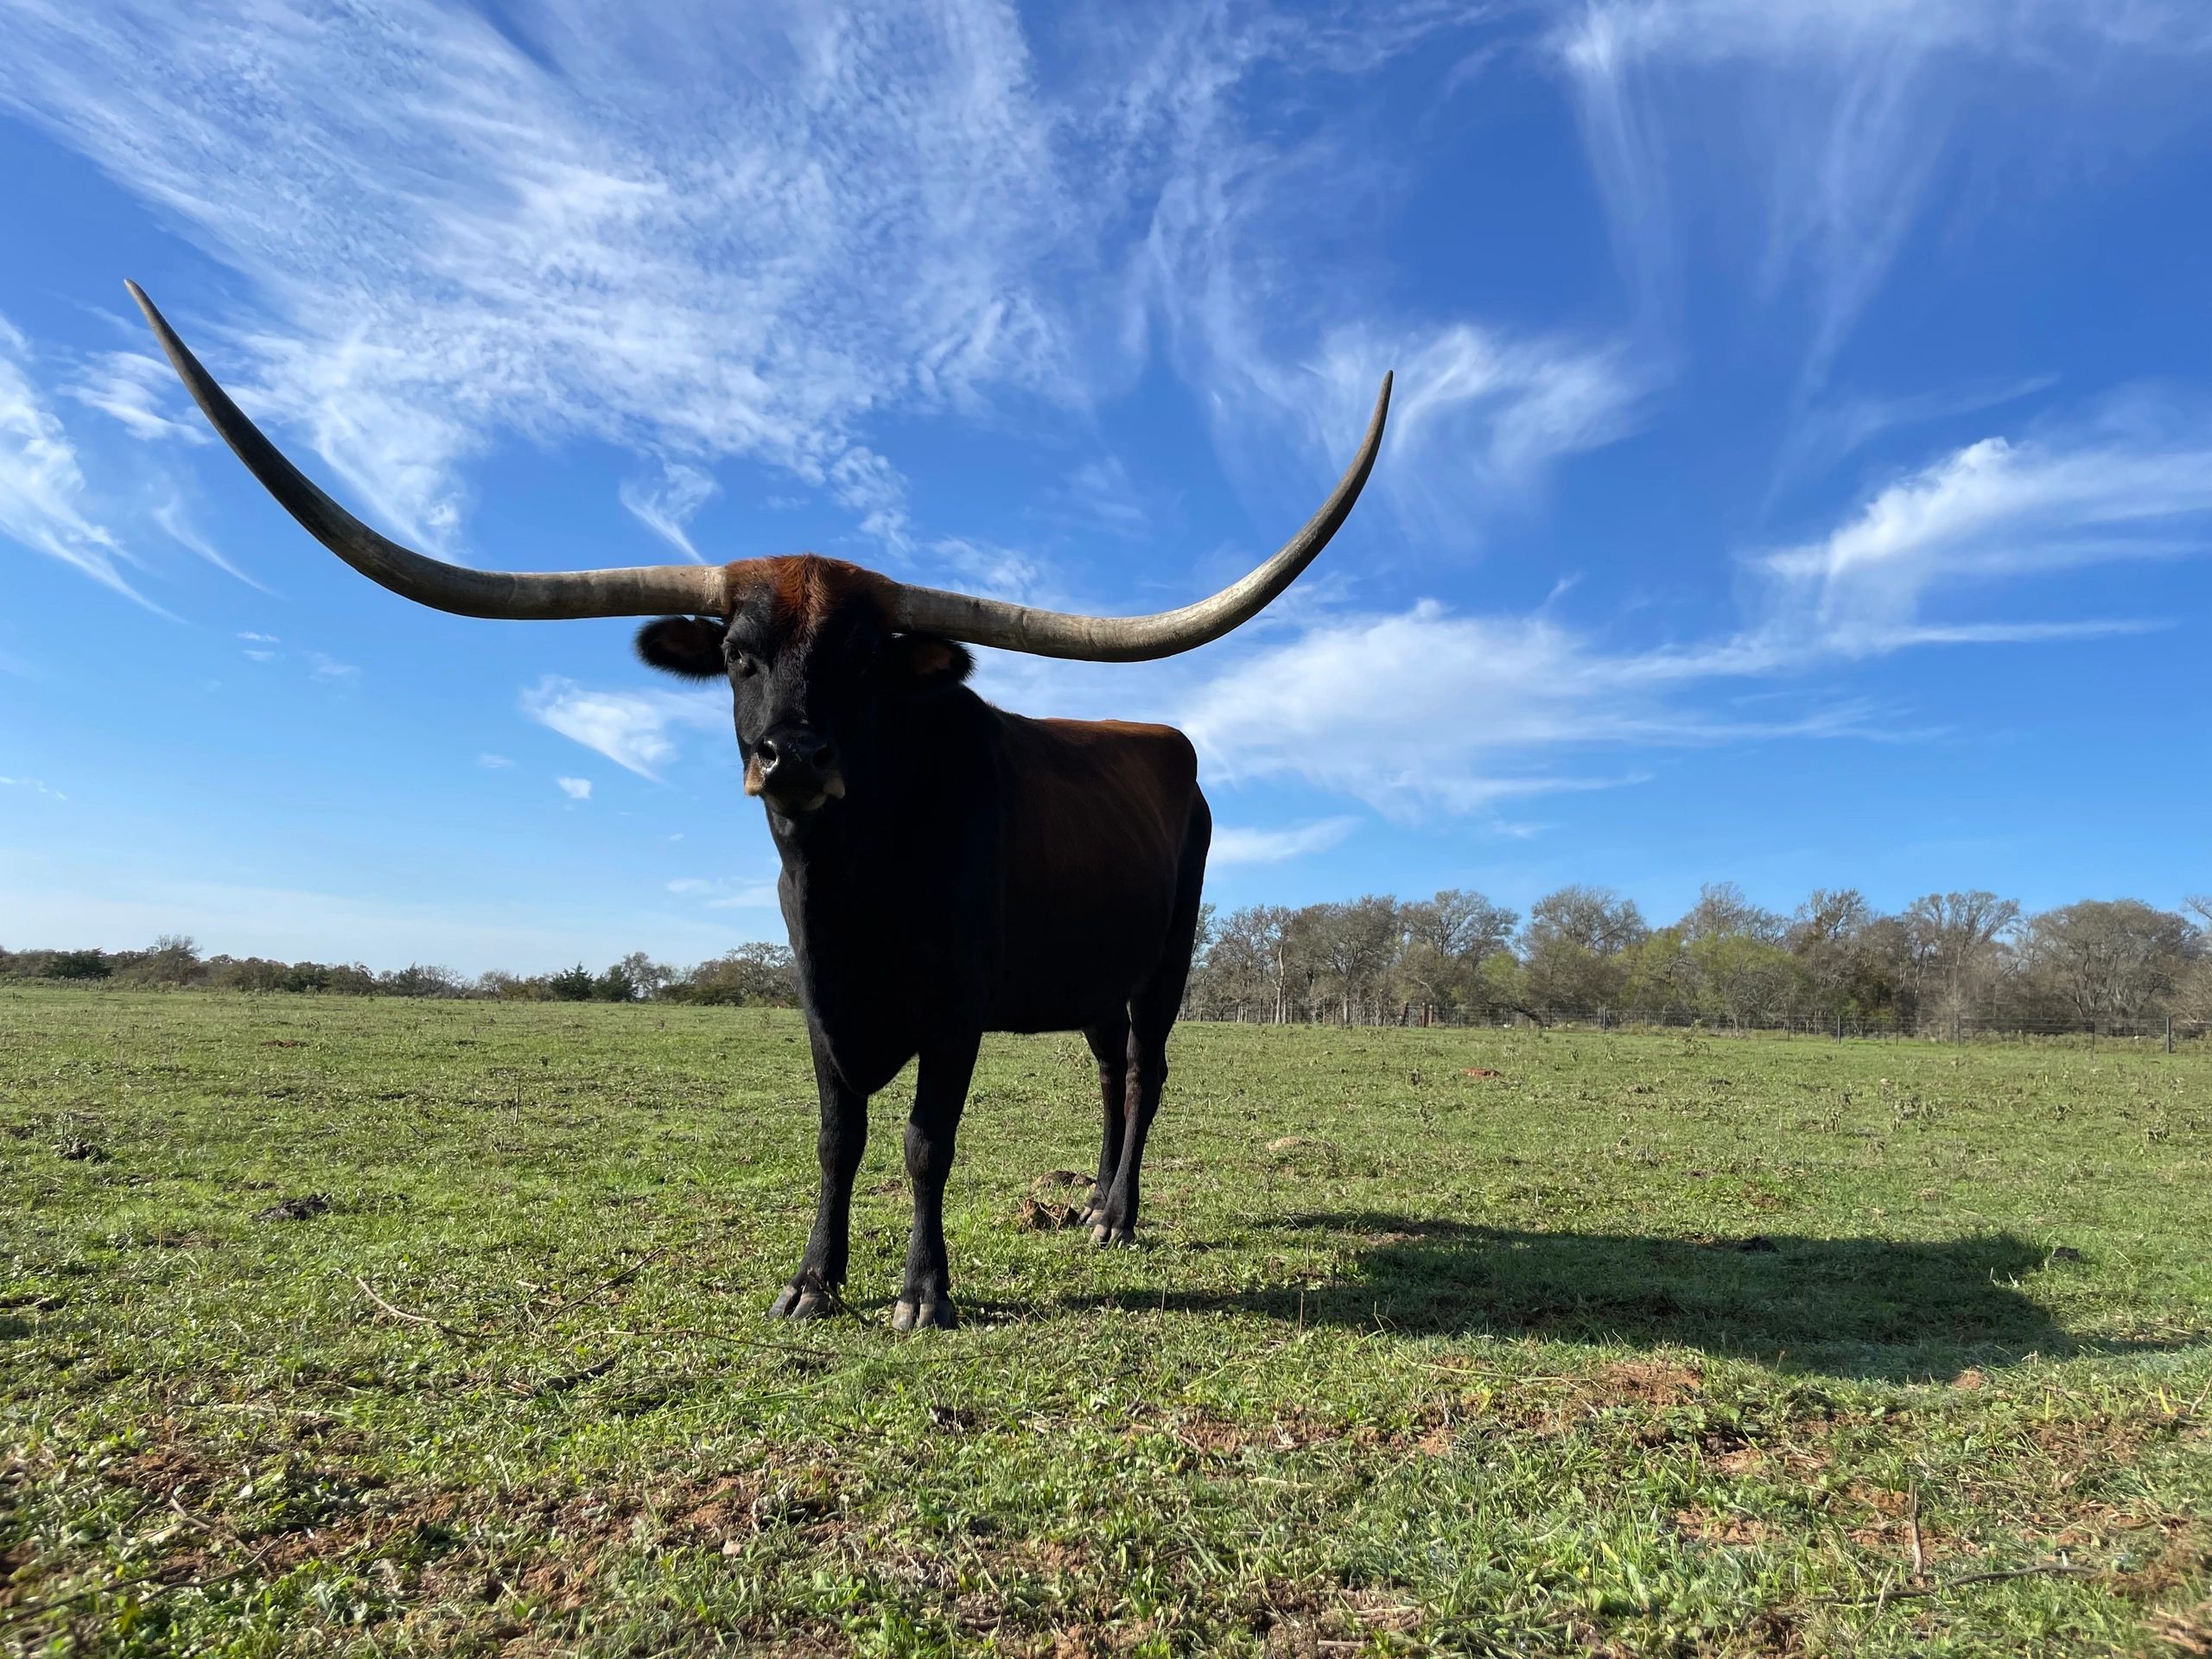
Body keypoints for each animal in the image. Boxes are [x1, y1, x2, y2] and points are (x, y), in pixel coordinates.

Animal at [129, 281, 1390, 1332]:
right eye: (739, 655)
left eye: (866, 663)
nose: (793, 756)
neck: (855, 879)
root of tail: (1162, 742)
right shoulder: (818, 998)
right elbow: (840, 1137)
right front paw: (814, 1279)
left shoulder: (958, 1002)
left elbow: (924, 1141)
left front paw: (921, 1293)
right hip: (1085, 979)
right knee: (1109, 1074)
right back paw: (1089, 1205)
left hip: (1162, 966)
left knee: (1146, 1071)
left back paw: (1117, 1215)